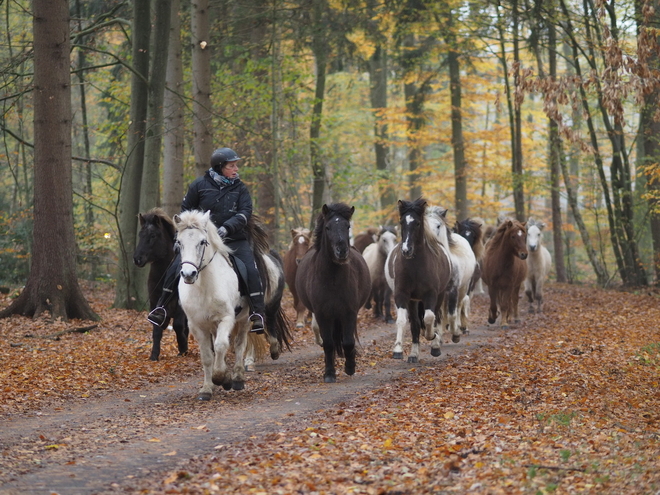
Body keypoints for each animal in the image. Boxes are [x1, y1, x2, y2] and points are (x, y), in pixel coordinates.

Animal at [132, 207, 188, 362]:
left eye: (153, 235)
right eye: (140, 234)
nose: (137, 259)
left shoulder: (180, 307)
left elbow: (178, 326)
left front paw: (183, 348)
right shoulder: (155, 303)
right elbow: (156, 329)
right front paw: (154, 355)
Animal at [296, 202, 372, 384]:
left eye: (347, 226)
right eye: (328, 227)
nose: (342, 251)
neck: (332, 279)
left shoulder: (349, 312)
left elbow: (349, 341)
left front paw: (350, 367)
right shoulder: (322, 314)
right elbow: (329, 344)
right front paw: (329, 373)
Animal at [382, 199, 454, 364]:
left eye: (418, 223)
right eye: (402, 222)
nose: (406, 250)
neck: (415, 266)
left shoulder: (431, 294)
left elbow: (429, 318)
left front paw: (433, 338)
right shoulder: (402, 295)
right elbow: (403, 321)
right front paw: (398, 350)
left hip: (439, 296)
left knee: (435, 317)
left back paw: (435, 345)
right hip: (413, 300)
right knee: (415, 323)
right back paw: (414, 354)